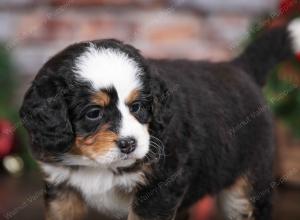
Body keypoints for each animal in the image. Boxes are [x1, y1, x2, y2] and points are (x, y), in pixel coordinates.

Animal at [19, 19, 300, 220]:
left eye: (138, 107)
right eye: (93, 113)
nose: (129, 144)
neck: (97, 165)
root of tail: (239, 67)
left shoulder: (159, 188)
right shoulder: (62, 190)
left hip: (248, 183)